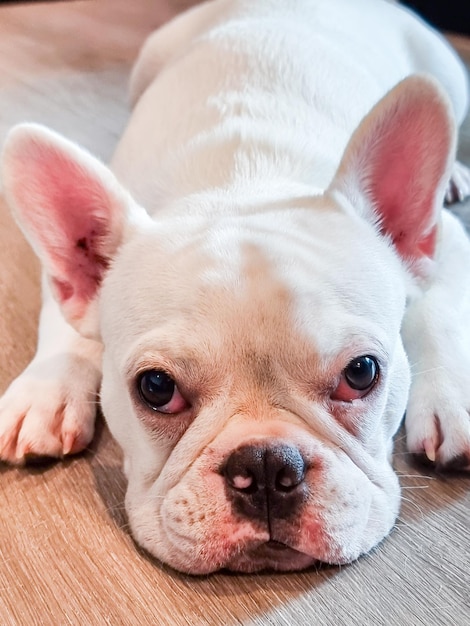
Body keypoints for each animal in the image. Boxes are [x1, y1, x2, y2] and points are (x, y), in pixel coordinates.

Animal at [0, 0, 470, 572]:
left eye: (362, 373)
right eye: (156, 388)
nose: (267, 465)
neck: (240, 182)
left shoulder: (448, 243)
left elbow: (440, 312)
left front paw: (454, 396)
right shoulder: (66, 276)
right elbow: (65, 328)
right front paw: (45, 393)